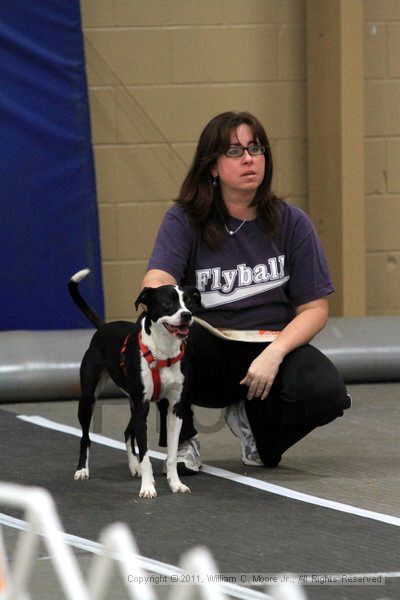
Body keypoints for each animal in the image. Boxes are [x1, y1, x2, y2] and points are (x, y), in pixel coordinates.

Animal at [69, 270, 202, 500]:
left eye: (190, 302)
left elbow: (172, 453)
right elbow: (146, 453)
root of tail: (103, 327)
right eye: (168, 302)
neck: (163, 352)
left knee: (126, 432)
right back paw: (82, 470)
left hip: (134, 403)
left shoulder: (174, 408)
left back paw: (134, 467)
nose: (186, 315)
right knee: (85, 437)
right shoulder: (142, 407)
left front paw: (175, 484)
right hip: (88, 399)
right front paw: (148, 487)